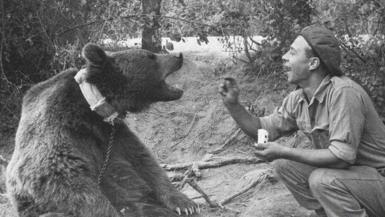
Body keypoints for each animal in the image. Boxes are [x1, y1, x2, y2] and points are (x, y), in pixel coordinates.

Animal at [6, 43, 200, 216]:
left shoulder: (114, 133)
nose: (179, 56)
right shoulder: (58, 129)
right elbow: (60, 176)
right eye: (150, 56)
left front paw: (185, 204)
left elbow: (144, 161)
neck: (93, 108)